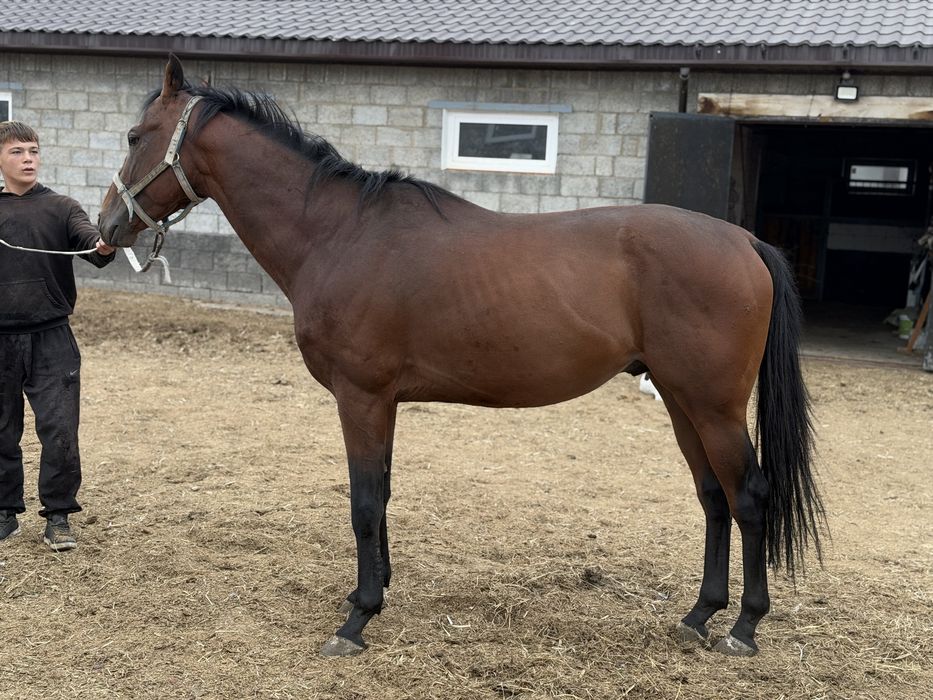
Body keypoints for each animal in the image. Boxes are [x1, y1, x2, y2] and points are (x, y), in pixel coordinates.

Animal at [98, 56, 826, 658]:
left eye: (135, 137)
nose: (105, 230)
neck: (339, 233)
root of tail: (743, 241)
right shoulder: (383, 402)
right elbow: (383, 493)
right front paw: (371, 593)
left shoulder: (362, 397)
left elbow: (364, 500)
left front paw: (357, 619)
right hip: (681, 401)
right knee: (713, 497)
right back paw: (699, 615)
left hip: (713, 406)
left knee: (749, 497)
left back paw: (743, 627)